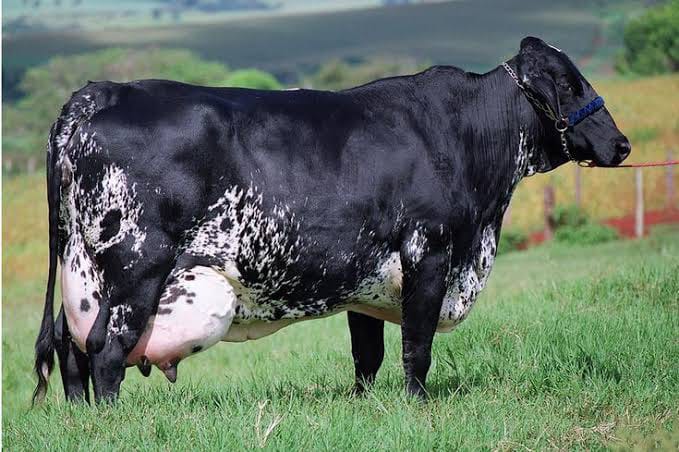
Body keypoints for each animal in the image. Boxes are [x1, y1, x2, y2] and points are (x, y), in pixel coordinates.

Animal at [33, 37, 630, 404]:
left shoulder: (367, 277)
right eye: (570, 84)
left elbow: (368, 356)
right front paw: (418, 406)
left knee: (70, 347)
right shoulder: (430, 253)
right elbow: (417, 348)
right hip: (137, 270)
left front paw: (366, 406)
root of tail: (102, 92)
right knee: (106, 350)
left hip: (82, 275)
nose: (622, 144)